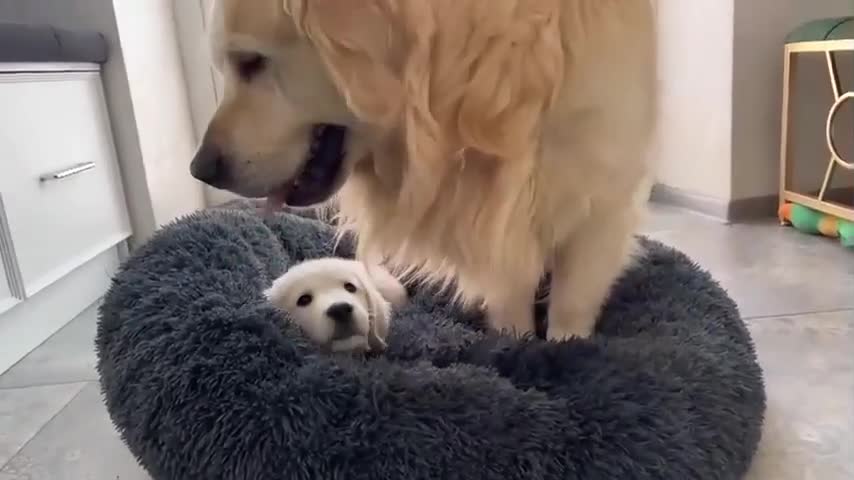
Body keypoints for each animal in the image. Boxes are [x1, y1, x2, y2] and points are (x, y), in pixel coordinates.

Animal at [194, 0, 660, 340]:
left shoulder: (602, 201)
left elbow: (572, 304)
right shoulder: (500, 222)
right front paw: (515, 342)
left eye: (251, 62)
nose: (200, 169)